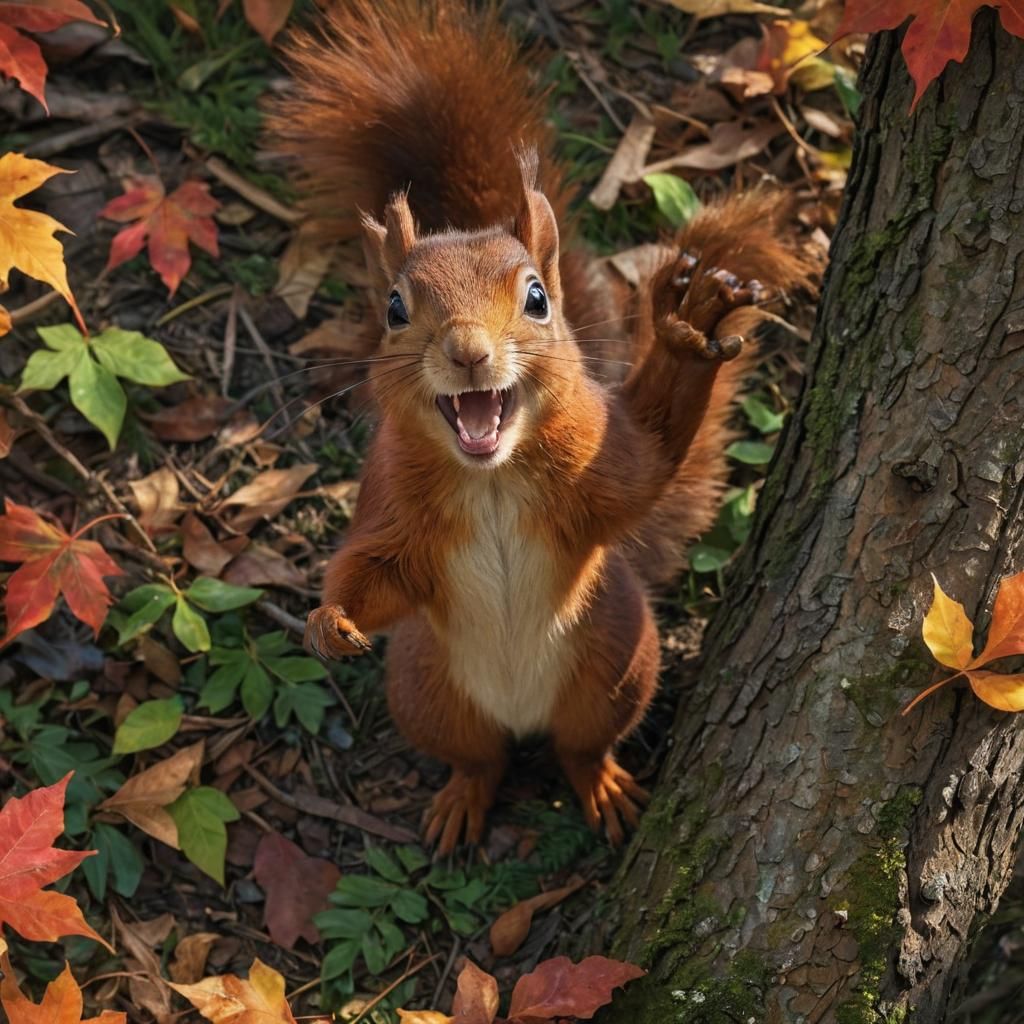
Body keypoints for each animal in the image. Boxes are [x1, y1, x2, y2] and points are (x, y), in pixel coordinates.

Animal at [269, 0, 812, 853]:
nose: (467, 351)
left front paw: (686, 330)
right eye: (394, 308)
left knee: (581, 746)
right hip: (425, 686)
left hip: (617, 662)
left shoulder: (600, 462)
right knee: (479, 758)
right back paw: (463, 797)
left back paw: (604, 785)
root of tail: (520, 718)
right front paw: (332, 619)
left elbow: (649, 471)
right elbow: (377, 571)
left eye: (536, 299)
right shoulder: (389, 503)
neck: (492, 476)